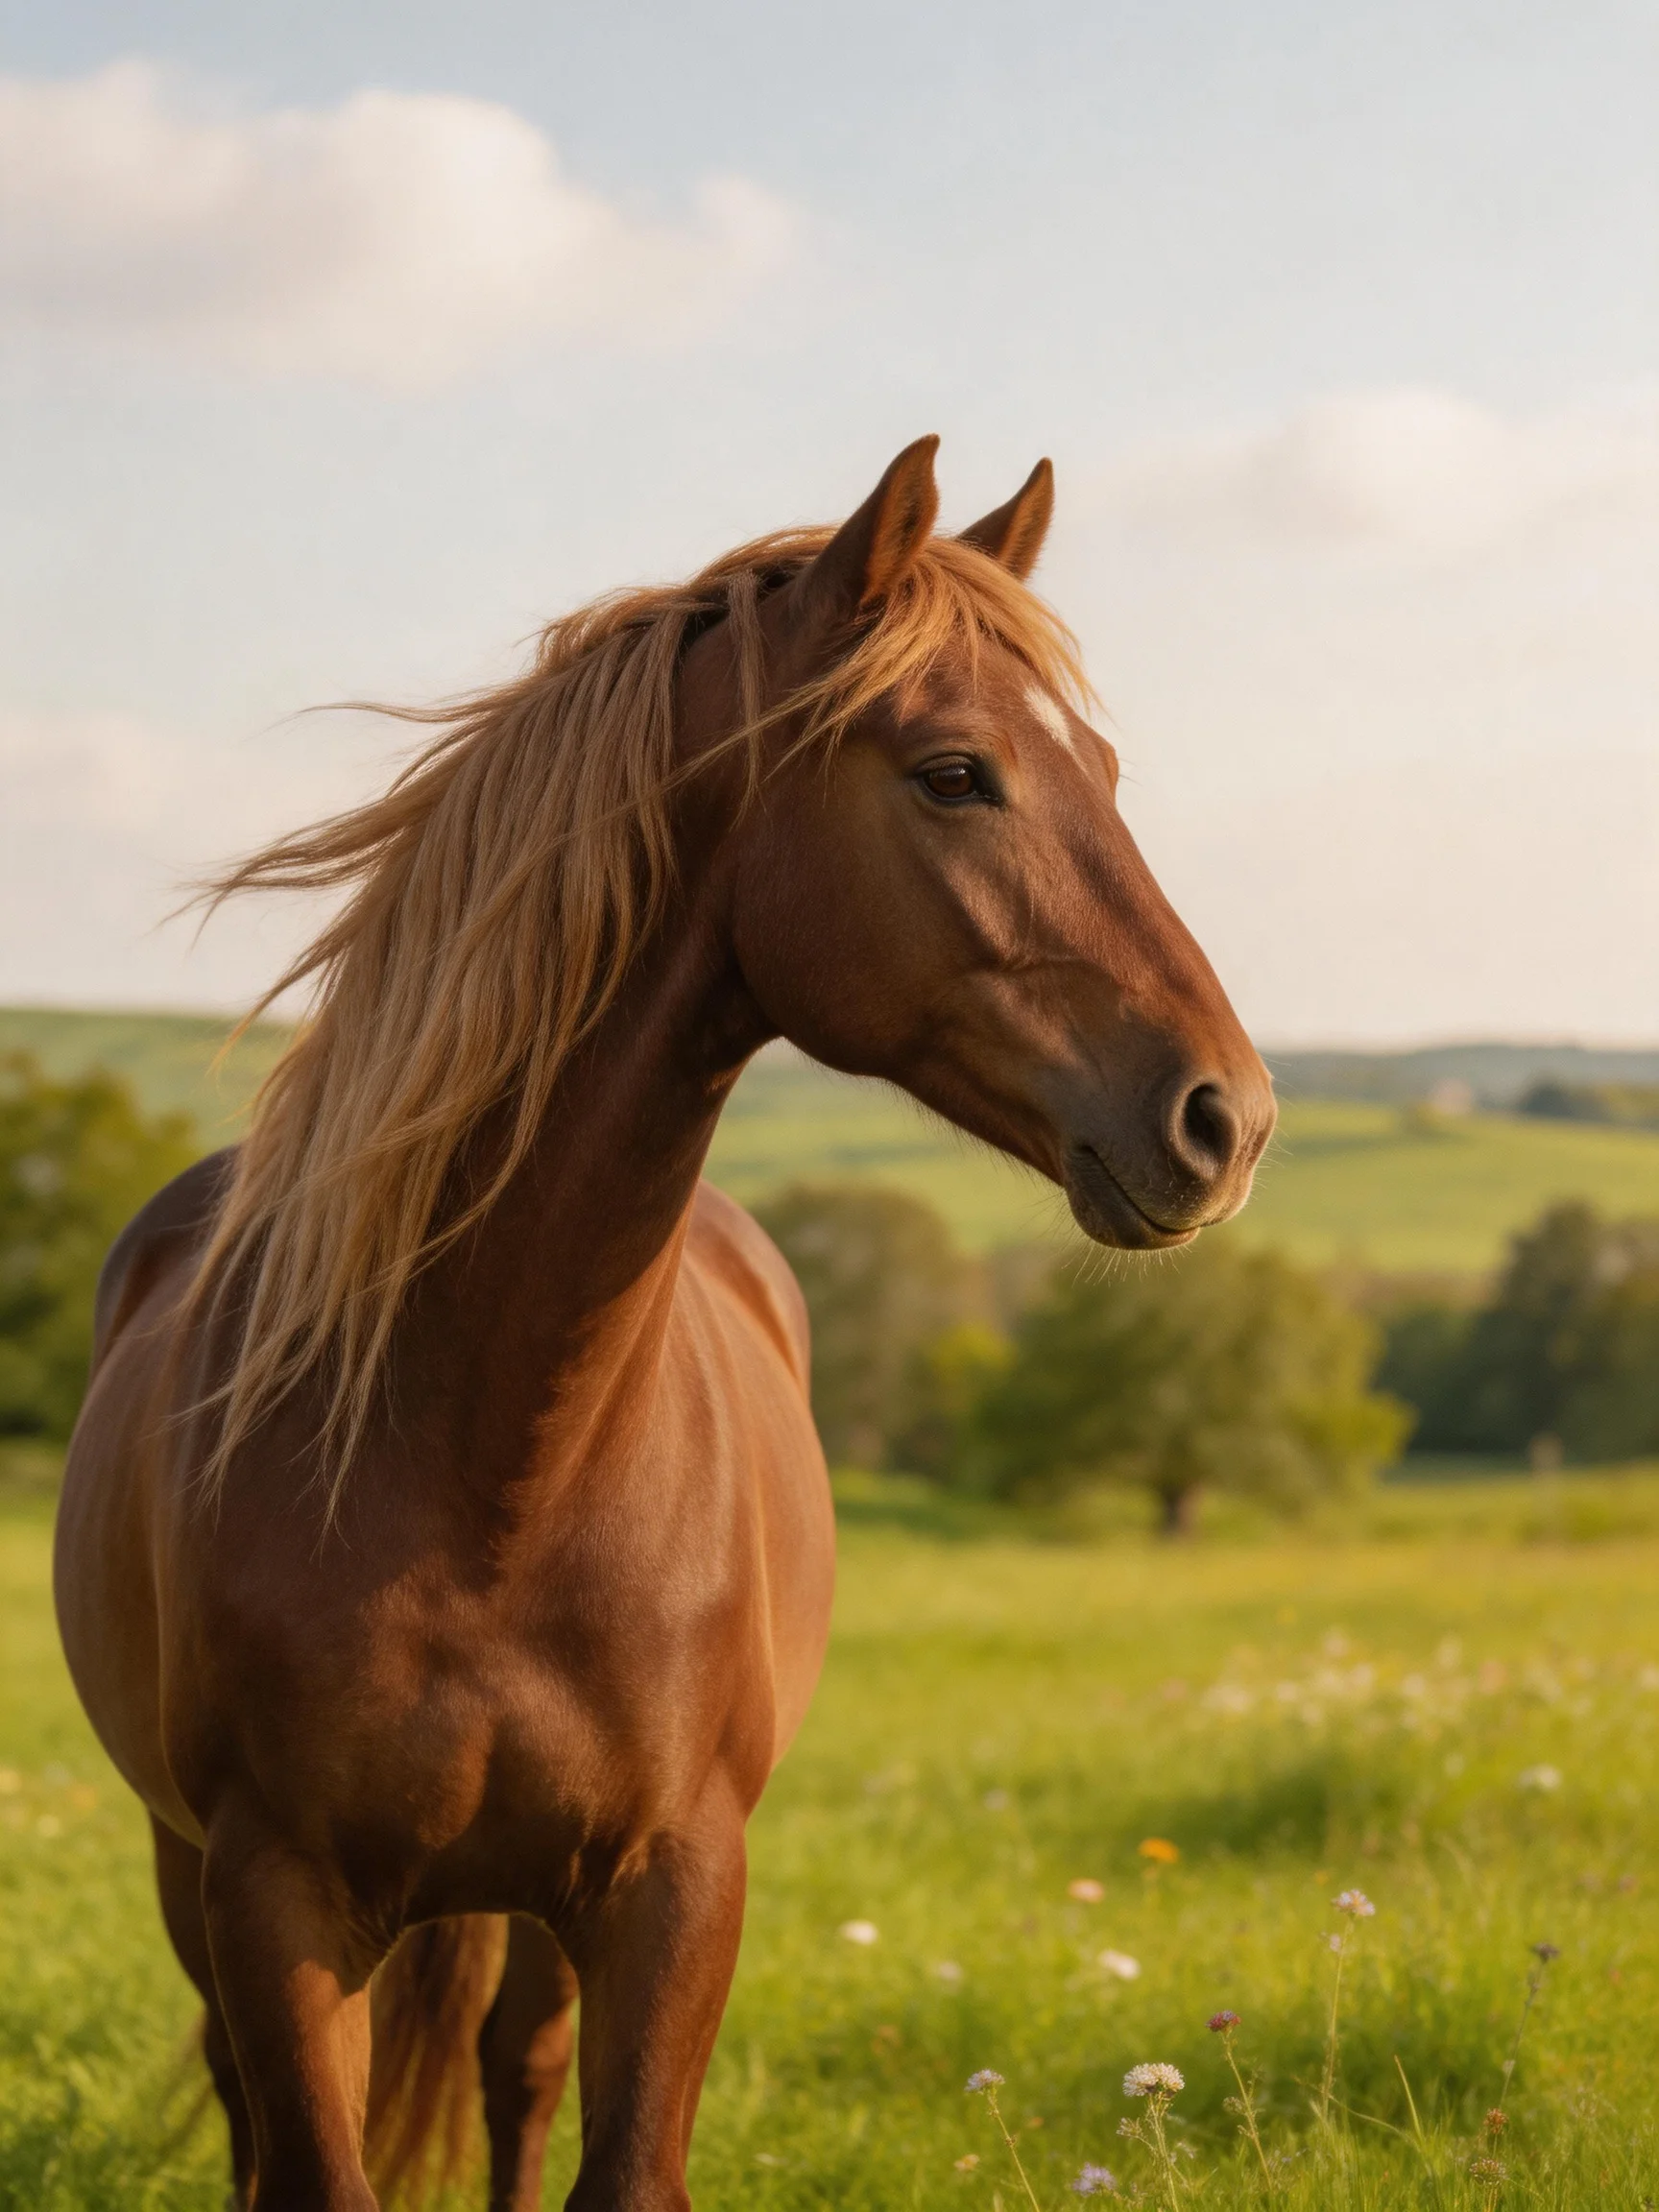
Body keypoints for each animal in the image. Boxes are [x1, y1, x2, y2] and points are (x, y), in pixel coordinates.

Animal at [54, 437, 1275, 2211]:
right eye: (954, 772)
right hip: (188, 1863)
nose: (1225, 1118)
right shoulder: (270, 1897)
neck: (485, 1447)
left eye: (1102, 768)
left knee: (515, 2071)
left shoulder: (674, 1882)